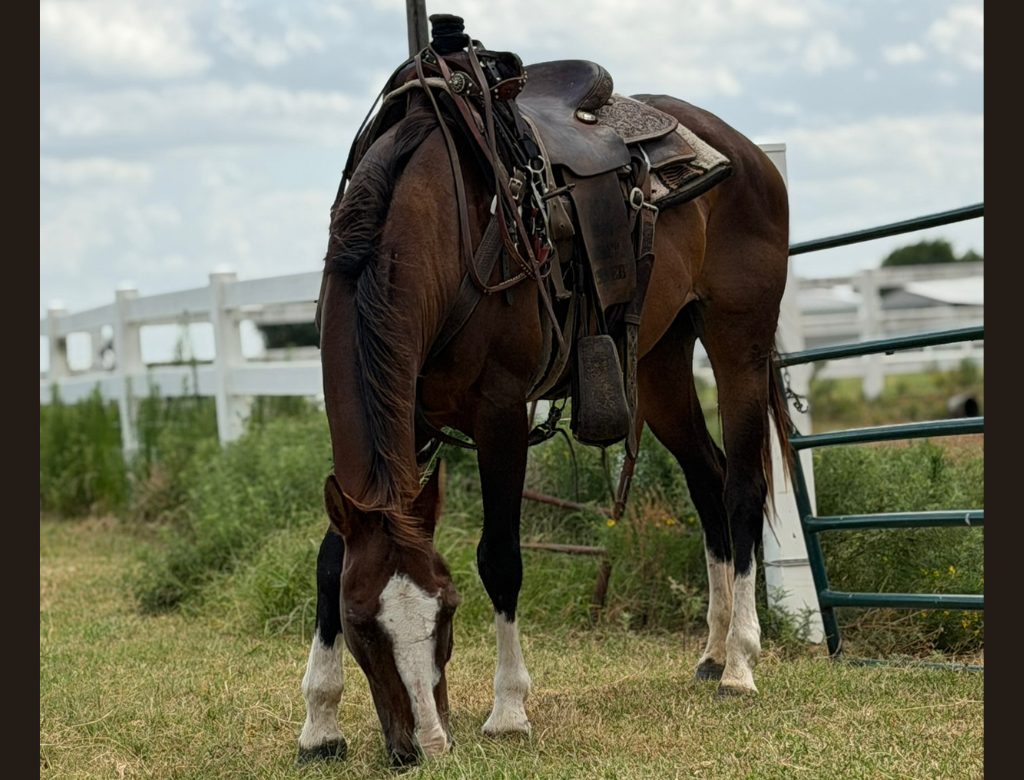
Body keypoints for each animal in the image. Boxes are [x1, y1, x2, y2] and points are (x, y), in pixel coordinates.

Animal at [296, 41, 791, 767]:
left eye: (448, 610)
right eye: (361, 623)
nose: (428, 744)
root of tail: (747, 153)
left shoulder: (500, 413)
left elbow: (500, 557)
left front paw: (508, 711)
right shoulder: (403, 429)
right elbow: (331, 559)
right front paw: (321, 721)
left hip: (740, 343)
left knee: (743, 489)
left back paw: (740, 664)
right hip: (660, 362)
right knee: (708, 481)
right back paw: (711, 651)